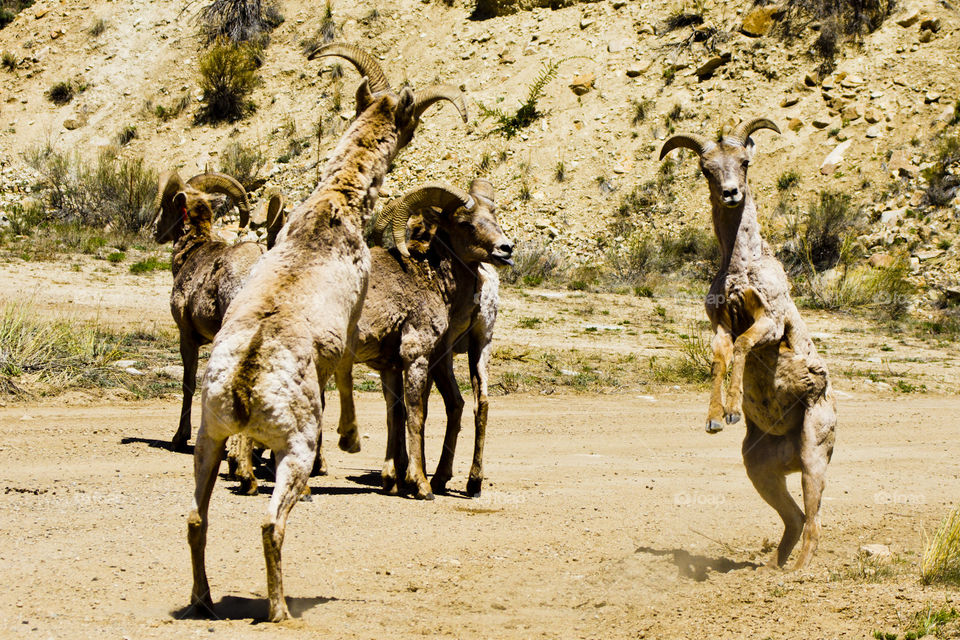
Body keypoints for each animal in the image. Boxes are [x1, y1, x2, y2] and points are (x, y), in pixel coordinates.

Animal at [186, 43, 468, 622]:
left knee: (197, 520)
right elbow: (342, 372)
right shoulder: (351, 317)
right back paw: (280, 610)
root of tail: (244, 387)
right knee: (271, 523)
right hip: (292, 448)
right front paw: (351, 439)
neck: (333, 208)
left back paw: (203, 601)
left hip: (208, 440)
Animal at [333, 179, 511, 500]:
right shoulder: (415, 356)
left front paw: (394, 480)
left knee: (475, 403)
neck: (432, 278)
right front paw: (420, 485)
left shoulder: (393, 366)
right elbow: (416, 414)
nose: (506, 249)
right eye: (465, 223)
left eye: (493, 215)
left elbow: (397, 415)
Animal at [660, 118, 837, 571]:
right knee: (794, 519)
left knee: (814, 522)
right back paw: (773, 569)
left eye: (744, 162)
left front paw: (733, 411)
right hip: (759, 471)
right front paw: (714, 420)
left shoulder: (769, 323)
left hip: (813, 457)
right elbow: (720, 358)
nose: (730, 193)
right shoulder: (721, 324)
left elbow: (741, 347)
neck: (741, 267)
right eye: (706, 169)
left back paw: (794, 575)